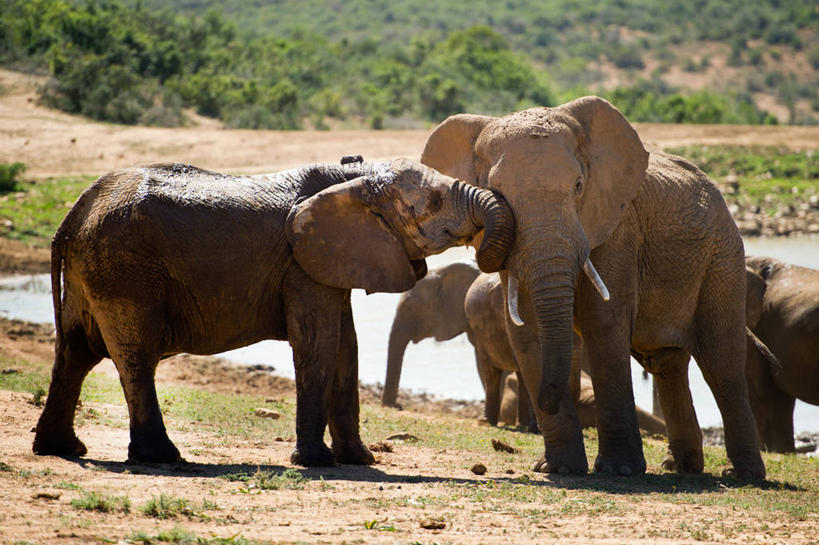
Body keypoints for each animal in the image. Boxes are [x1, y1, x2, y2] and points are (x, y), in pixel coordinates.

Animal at [35, 156, 516, 464]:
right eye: (434, 202)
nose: (485, 255)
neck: (354, 176)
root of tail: (72, 216)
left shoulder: (327, 261)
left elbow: (346, 348)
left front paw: (359, 460)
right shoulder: (300, 265)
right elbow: (319, 345)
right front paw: (317, 462)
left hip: (94, 269)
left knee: (74, 353)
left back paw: (62, 450)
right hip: (124, 269)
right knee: (134, 357)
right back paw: (162, 458)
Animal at [422, 95, 768, 478]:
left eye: (577, 186)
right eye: (496, 192)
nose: (544, 402)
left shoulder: (619, 227)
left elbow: (605, 323)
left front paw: (620, 471)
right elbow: (529, 332)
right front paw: (558, 468)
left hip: (723, 257)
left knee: (721, 361)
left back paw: (742, 475)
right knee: (667, 364)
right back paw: (681, 468)